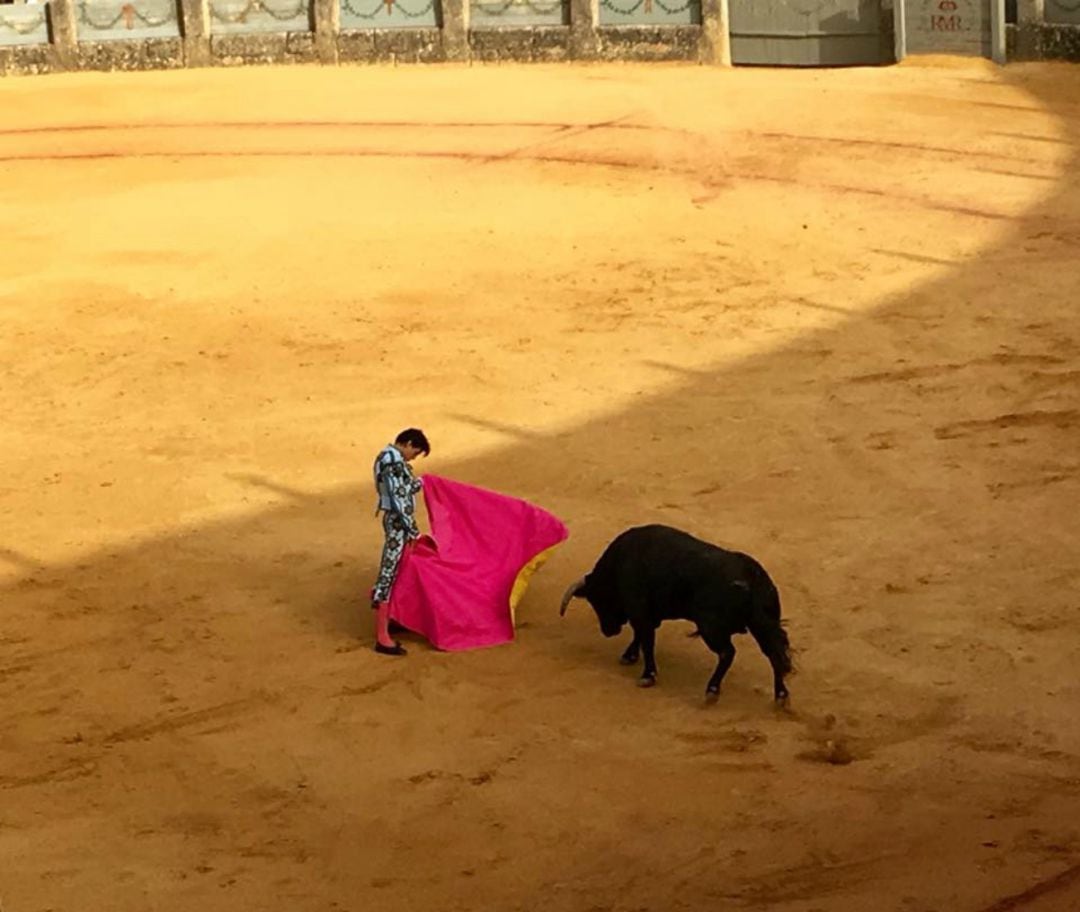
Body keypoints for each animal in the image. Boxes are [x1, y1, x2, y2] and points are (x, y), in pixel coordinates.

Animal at [561, 522, 790, 700]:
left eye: (598, 600)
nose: (608, 631)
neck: (618, 565)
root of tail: (751, 577)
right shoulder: (649, 614)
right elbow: (640, 636)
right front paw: (630, 656)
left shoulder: (640, 611)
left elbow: (646, 640)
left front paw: (648, 675)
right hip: (763, 625)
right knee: (774, 653)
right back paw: (781, 695)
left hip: (711, 628)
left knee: (728, 652)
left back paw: (712, 689)